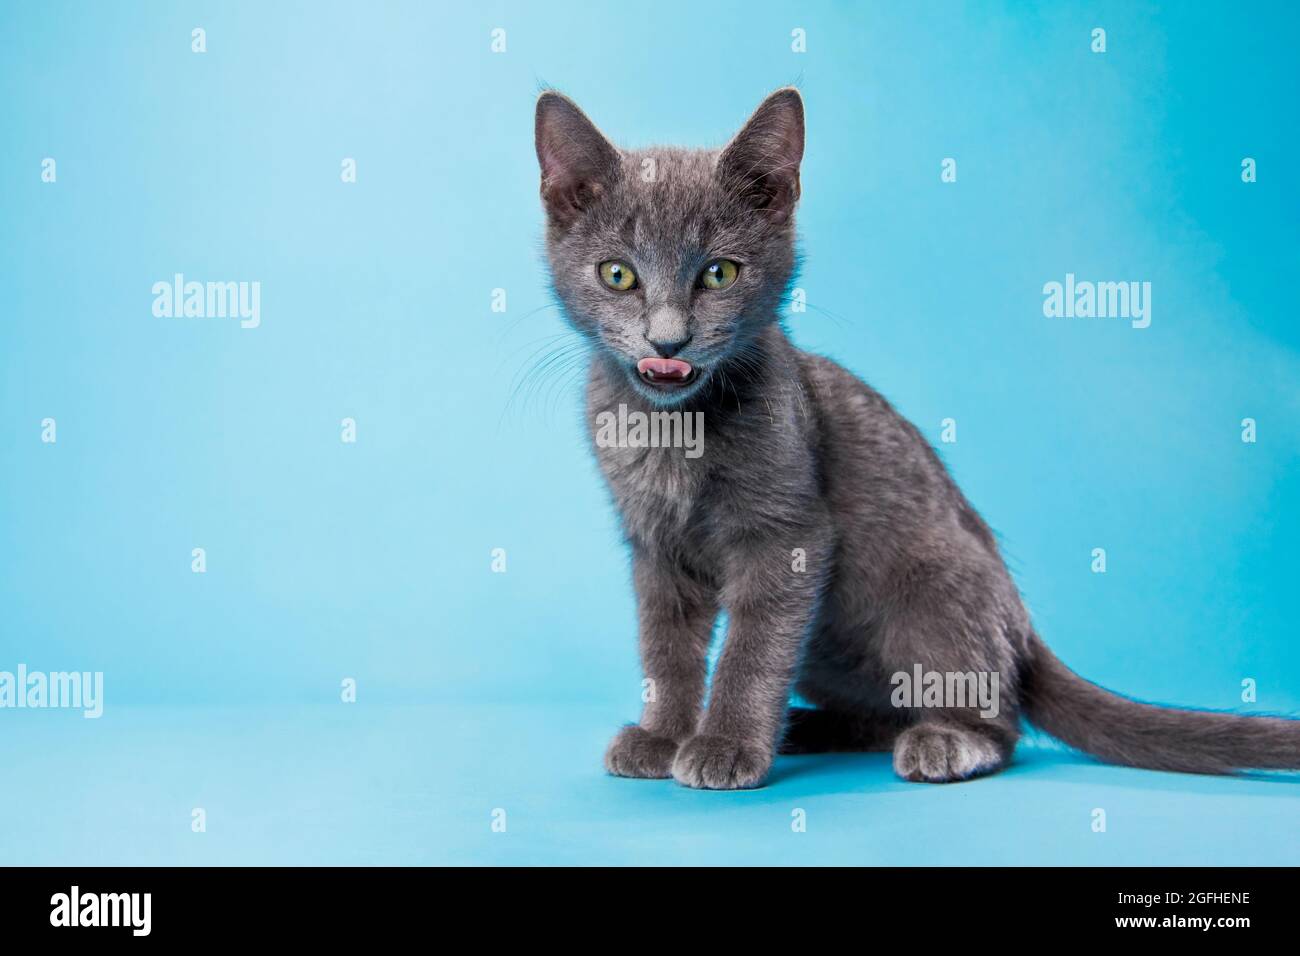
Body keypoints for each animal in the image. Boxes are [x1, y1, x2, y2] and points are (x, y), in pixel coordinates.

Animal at [530, 89, 1300, 790]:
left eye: (719, 273)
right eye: (619, 274)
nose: (668, 342)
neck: (674, 428)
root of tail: (1023, 627)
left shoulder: (788, 534)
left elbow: (752, 647)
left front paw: (725, 746)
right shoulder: (654, 546)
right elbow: (664, 647)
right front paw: (663, 737)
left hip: (930, 586)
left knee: (999, 720)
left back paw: (942, 743)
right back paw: (808, 726)